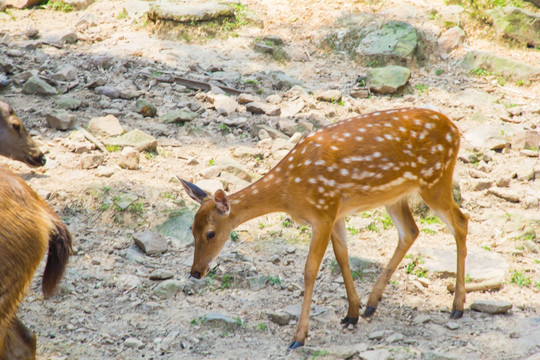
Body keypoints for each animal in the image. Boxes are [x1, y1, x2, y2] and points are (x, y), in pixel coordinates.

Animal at [179, 107, 466, 348]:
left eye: (211, 233)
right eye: (190, 229)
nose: (196, 272)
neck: (287, 191)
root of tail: (455, 129)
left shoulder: (322, 213)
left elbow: (309, 270)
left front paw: (299, 337)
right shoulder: (336, 213)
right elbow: (342, 257)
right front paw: (351, 313)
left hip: (435, 179)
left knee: (461, 221)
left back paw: (457, 306)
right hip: (395, 195)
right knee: (411, 231)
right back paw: (372, 304)